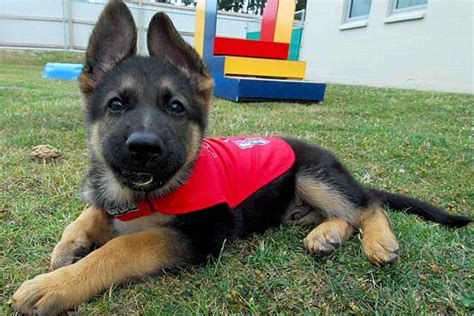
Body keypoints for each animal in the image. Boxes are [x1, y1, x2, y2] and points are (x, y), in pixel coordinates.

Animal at [11, 1, 470, 314]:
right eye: (116, 105)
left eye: (175, 107)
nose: (143, 148)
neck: (145, 194)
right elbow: (91, 212)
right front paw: (69, 244)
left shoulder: (199, 235)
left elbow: (122, 247)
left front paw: (56, 284)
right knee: (345, 214)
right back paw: (326, 234)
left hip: (312, 173)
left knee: (368, 205)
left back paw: (379, 241)